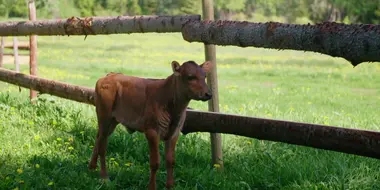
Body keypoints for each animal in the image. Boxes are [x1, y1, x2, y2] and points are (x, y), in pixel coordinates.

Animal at [89, 60, 214, 189]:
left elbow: (171, 160)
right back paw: (104, 177)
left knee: (98, 137)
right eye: (190, 77)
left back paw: (92, 167)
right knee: (103, 146)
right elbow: (155, 162)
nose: (208, 94)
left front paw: (170, 186)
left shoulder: (175, 132)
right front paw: (152, 187)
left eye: (205, 76)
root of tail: (109, 75)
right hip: (104, 115)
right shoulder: (152, 131)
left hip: (113, 120)